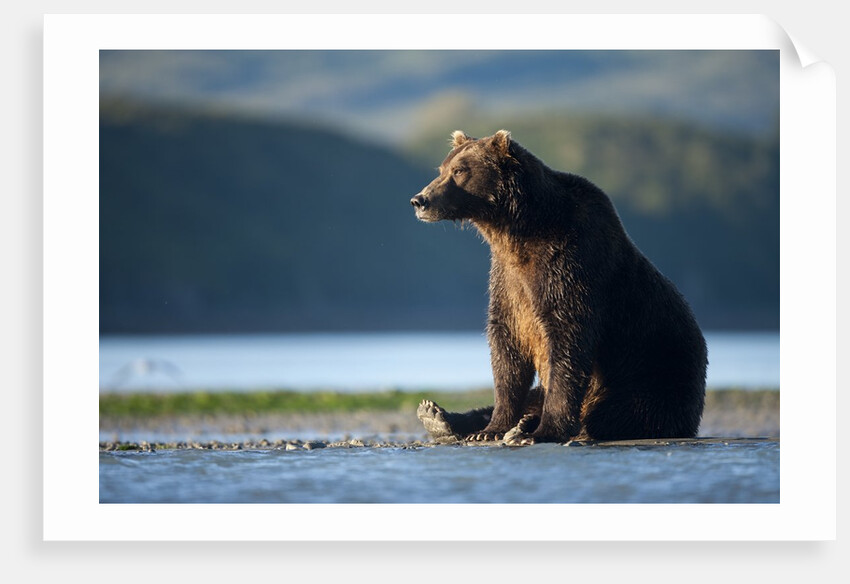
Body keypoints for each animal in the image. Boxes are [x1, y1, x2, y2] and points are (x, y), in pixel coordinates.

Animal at [410, 130, 707, 444]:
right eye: (442, 169)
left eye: (459, 171)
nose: (420, 200)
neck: (517, 232)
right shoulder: (507, 279)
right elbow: (506, 348)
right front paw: (491, 429)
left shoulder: (569, 263)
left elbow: (566, 341)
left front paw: (543, 430)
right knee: (536, 397)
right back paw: (438, 416)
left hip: (655, 373)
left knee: (622, 410)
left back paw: (531, 425)